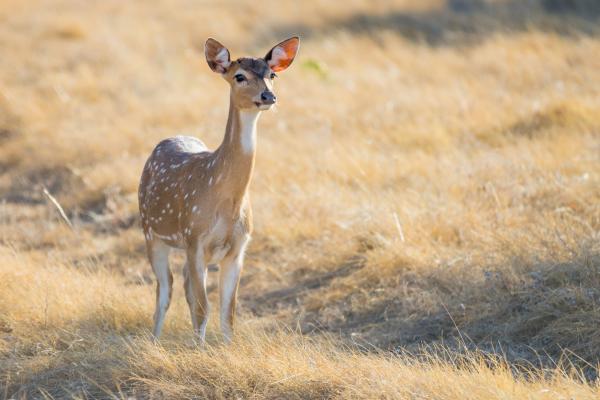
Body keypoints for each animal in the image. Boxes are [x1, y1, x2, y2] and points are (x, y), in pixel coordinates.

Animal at [137, 37, 298, 344]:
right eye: (240, 76)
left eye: (272, 75)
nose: (268, 97)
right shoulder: (194, 239)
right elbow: (204, 308)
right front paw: (199, 351)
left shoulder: (238, 248)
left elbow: (228, 312)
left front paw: (226, 349)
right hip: (151, 232)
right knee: (165, 289)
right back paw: (154, 340)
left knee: (184, 284)